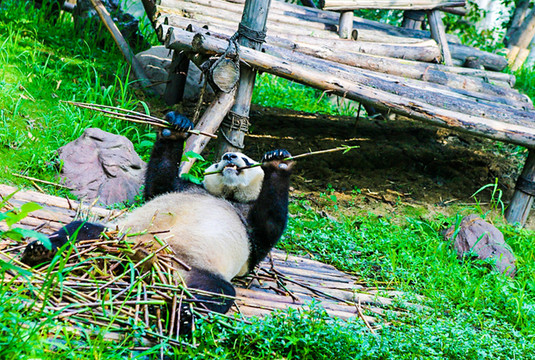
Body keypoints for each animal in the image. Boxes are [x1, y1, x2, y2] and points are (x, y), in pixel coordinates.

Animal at [21, 112, 296, 332]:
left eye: (246, 160)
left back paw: (183, 315)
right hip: (115, 236)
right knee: (81, 229)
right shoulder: (186, 187)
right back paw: (41, 249)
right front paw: (177, 127)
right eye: (218, 160)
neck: (225, 195)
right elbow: (158, 184)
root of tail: (138, 261)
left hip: (189, 267)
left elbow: (268, 225)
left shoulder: (249, 230)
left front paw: (278, 161)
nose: (229, 156)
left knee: (214, 292)